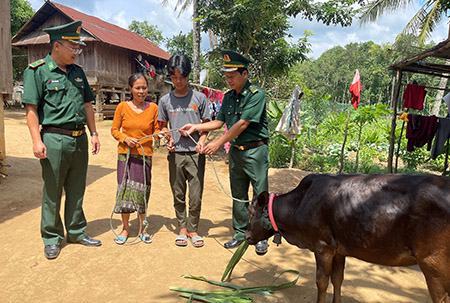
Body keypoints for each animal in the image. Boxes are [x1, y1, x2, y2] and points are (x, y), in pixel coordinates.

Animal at [246, 175, 450, 303]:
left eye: (251, 213)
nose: (246, 236)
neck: (300, 203)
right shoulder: (339, 250)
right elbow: (338, 279)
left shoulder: (323, 247)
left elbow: (321, 282)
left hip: (433, 263)